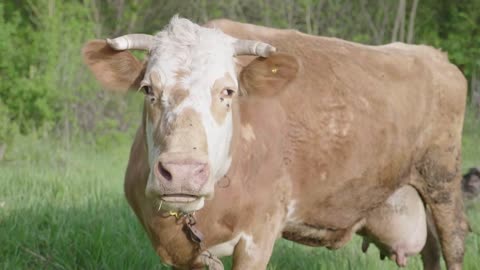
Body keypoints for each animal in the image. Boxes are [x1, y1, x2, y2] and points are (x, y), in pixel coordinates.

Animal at [82, 15, 468, 268]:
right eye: (148, 89)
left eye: (228, 91)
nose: (182, 172)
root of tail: (436, 56)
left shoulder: (259, 235)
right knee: (432, 251)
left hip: (442, 179)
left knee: (452, 245)